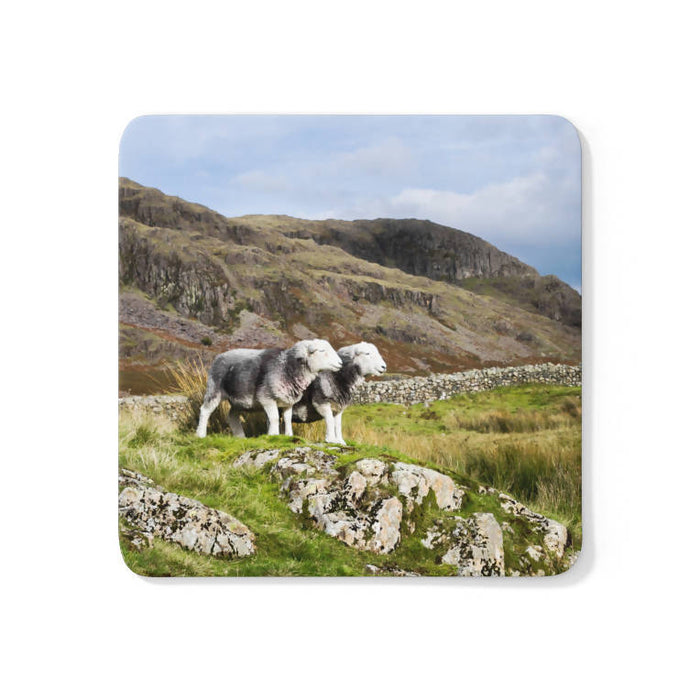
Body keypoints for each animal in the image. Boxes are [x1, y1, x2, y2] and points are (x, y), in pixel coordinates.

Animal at [194, 340, 342, 438]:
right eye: (322, 351)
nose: (340, 363)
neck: (286, 367)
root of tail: (219, 356)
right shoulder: (266, 398)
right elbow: (275, 418)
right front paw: (273, 435)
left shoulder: (287, 401)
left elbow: (287, 420)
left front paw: (288, 436)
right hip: (214, 389)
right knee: (205, 410)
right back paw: (200, 434)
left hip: (239, 400)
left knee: (232, 415)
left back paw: (240, 436)